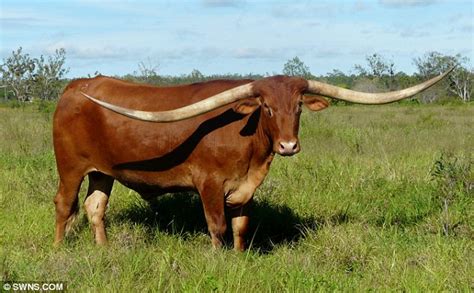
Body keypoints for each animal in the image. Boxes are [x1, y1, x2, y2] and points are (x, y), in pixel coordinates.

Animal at [52, 68, 452, 249]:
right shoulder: (209, 184)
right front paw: (219, 259)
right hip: (71, 168)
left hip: (102, 172)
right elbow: (217, 226)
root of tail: (76, 87)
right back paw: (58, 249)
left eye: (298, 106)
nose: (288, 146)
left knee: (94, 208)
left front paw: (239, 257)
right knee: (64, 205)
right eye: (267, 108)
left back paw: (104, 250)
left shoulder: (247, 187)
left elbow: (241, 227)